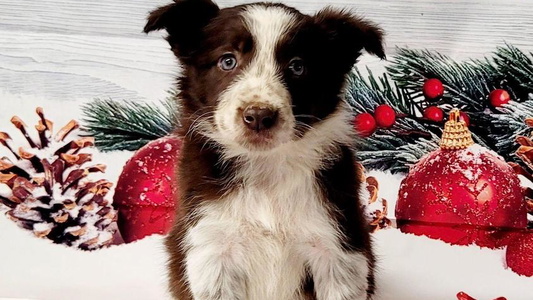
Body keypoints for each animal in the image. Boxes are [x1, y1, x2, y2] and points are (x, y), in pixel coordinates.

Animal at [143, 1, 384, 298]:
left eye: (297, 66)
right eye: (228, 61)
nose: (259, 116)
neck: (267, 166)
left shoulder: (337, 248)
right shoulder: (212, 248)